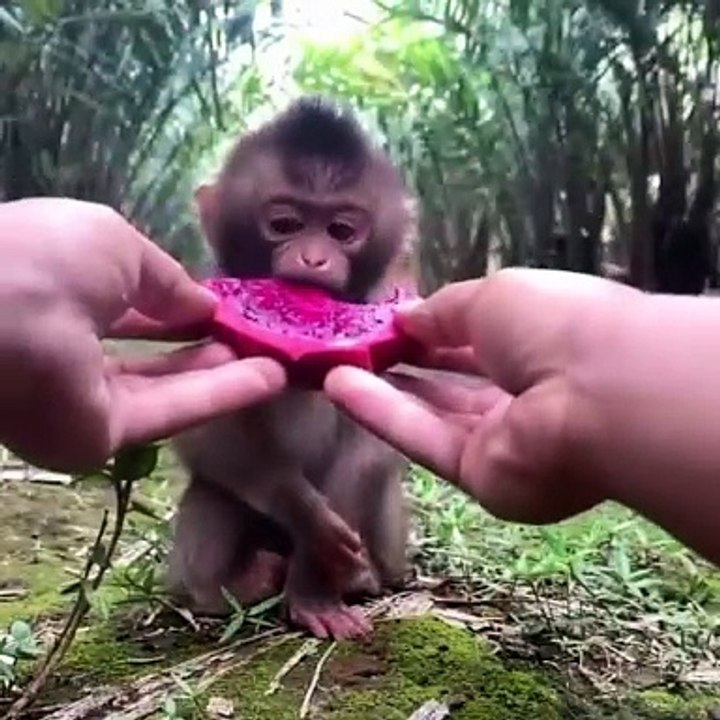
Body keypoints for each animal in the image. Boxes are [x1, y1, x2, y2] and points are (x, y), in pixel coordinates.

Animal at [167, 96, 419, 640]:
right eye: (285, 224)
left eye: (341, 231)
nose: (313, 257)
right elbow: (206, 433)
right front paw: (304, 514)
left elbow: (372, 442)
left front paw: (316, 588)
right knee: (212, 493)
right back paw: (236, 586)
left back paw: (363, 576)